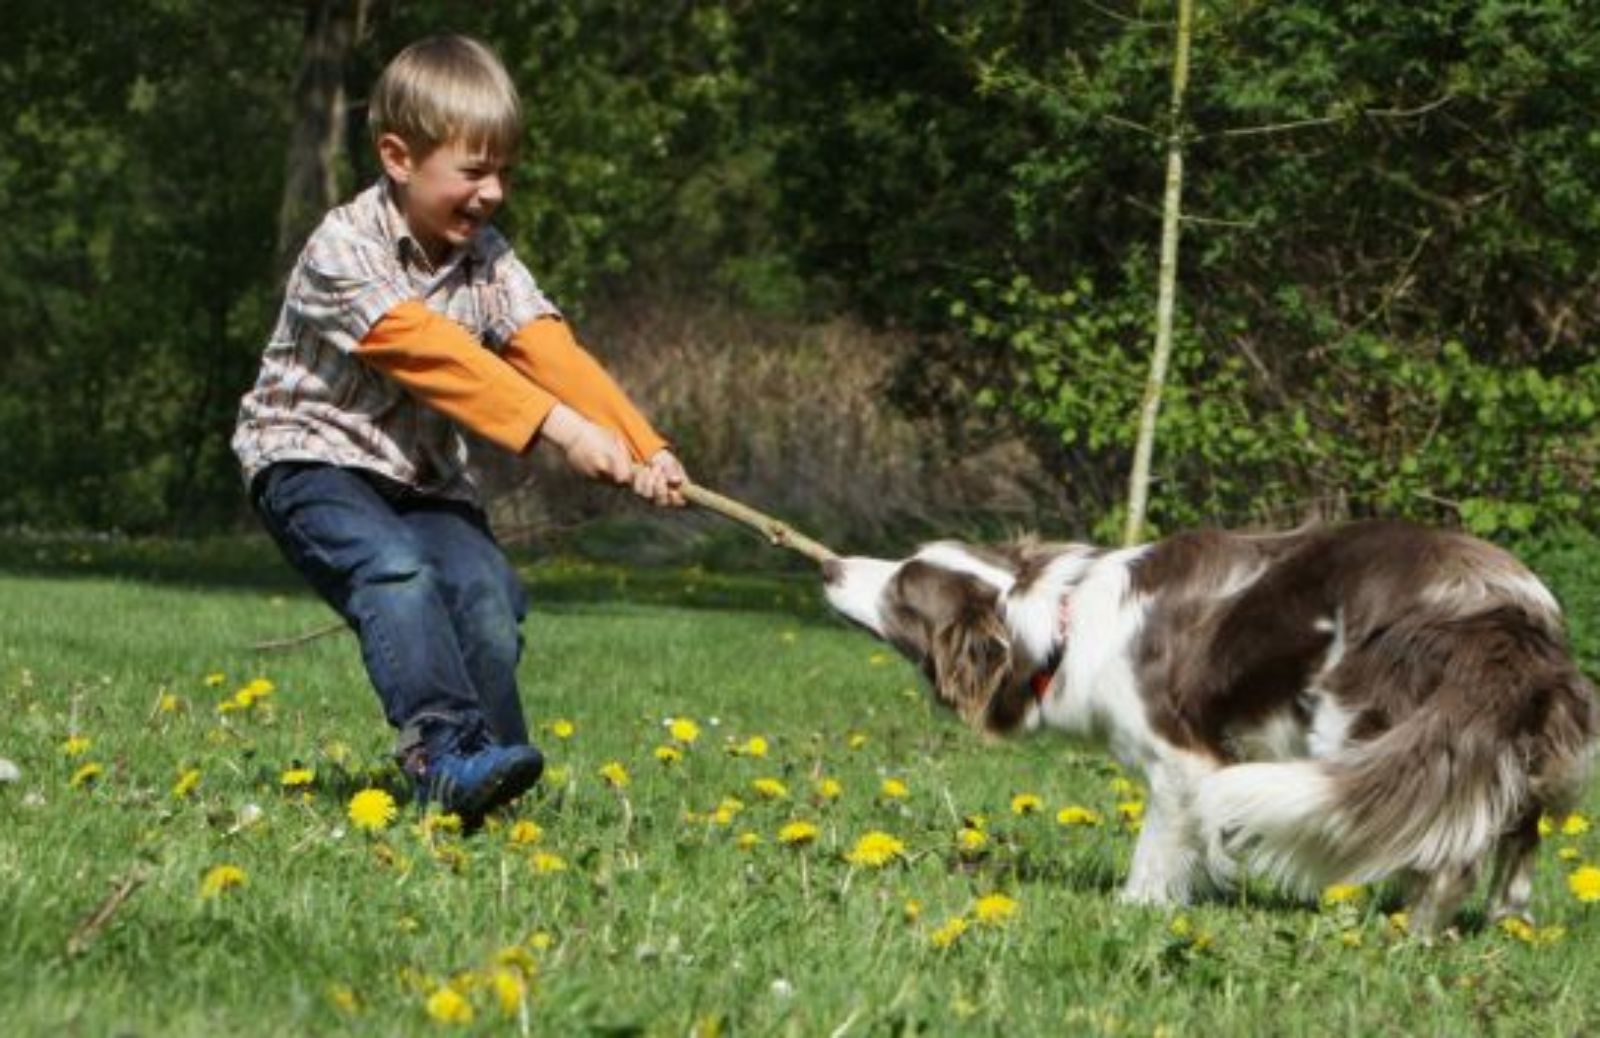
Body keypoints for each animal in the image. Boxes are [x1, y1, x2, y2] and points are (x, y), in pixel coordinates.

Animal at [825, 518, 1600, 934]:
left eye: (902, 591)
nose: (830, 566)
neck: (1055, 625)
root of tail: (1500, 611)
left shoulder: (1185, 760)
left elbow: (1157, 848)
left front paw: (1136, 908)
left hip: (1359, 726)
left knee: (1447, 847)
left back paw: (1412, 933)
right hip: (1512, 748)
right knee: (1514, 837)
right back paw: (1505, 926)